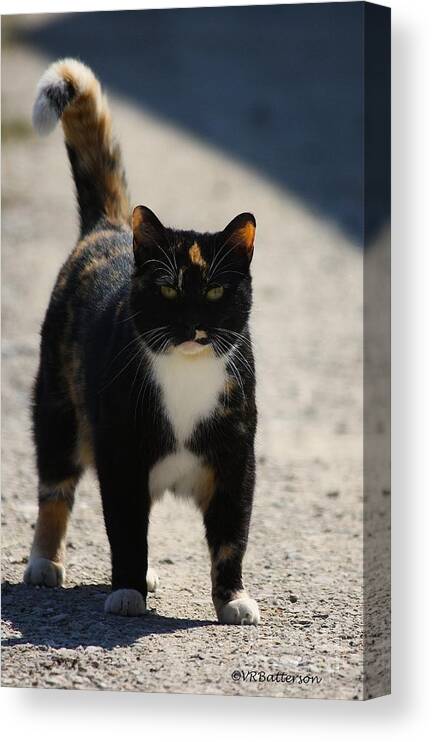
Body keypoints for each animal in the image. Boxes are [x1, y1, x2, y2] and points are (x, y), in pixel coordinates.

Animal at [22, 59, 260, 628]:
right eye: (169, 288)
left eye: (215, 290)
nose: (193, 325)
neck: (186, 377)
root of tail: (108, 226)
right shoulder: (122, 453)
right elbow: (125, 529)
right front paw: (127, 591)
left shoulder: (237, 458)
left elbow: (231, 536)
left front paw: (233, 598)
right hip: (58, 406)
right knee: (55, 487)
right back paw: (44, 561)